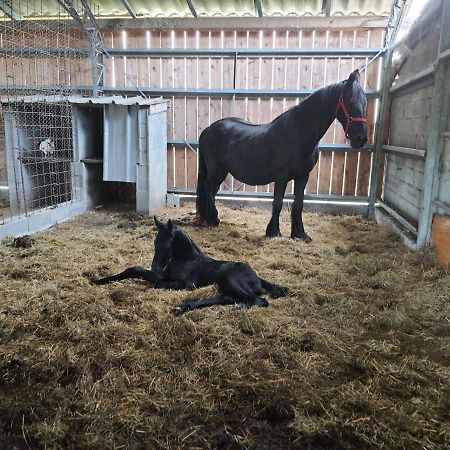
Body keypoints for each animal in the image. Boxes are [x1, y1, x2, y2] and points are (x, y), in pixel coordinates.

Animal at [94, 217, 288, 314]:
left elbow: (157, 283)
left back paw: (233, 311)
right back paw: (183, 307)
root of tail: (257, 277)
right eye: (154, 242)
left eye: (166, 244)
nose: (155, 267)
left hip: (229, 278)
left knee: (257, 300)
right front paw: (97, 280)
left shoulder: (187, 284)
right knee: (229, 298)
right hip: (225, 285)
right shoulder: (164, 275)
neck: (185, 259)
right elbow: (135, 270)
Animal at [195, 68, 368, 241]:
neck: (299, 133)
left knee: (212, 189)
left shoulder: (303, 176)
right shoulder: (281, 177)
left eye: (365, 103)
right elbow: (277, 203)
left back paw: (209, 218)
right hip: (216, 170)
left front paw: (299, 233)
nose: (361, 138)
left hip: (222, 171)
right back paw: (214, 218)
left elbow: (298, 204)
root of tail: (207, 130)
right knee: (207, 186)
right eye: (350, 102)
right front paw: (274, 231)